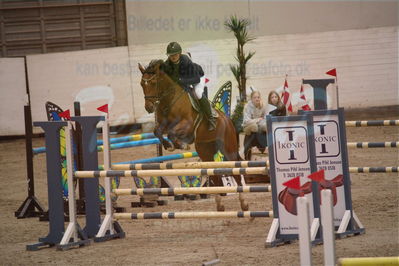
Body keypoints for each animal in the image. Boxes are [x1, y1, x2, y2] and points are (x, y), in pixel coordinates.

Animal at [139, 59, 248, 212]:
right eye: (142, 84)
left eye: (153, 83)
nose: (149, 107)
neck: (169, 99)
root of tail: (229, 121)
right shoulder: (162, 124)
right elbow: (157, 132)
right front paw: (169, 145)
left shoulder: (187, 124)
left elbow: (172, 133)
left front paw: (180, 144)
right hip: (206, 151)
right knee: (214, 175)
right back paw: (220, 205)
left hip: (228, 149)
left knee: (236, 172)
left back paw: (244, 203)